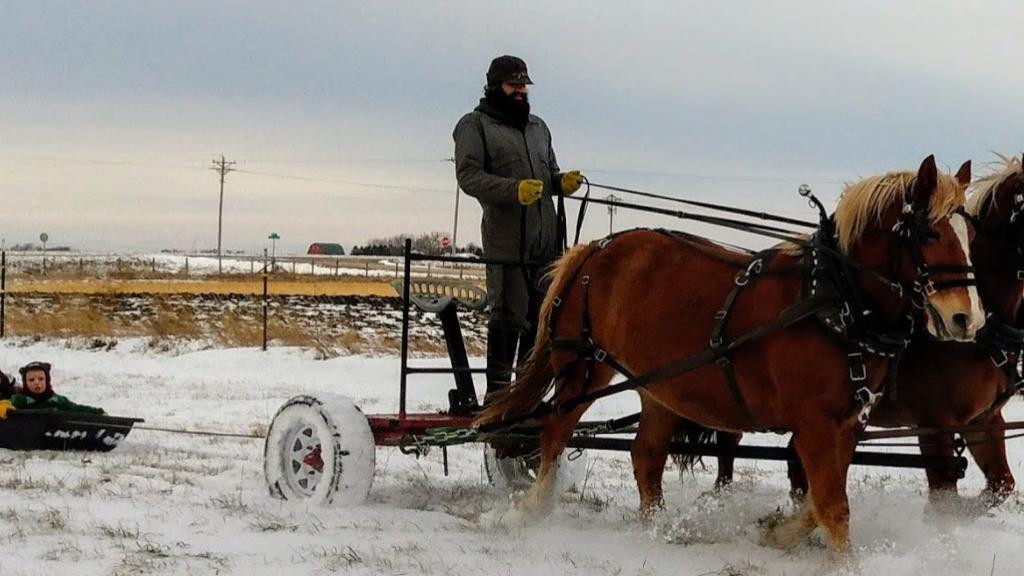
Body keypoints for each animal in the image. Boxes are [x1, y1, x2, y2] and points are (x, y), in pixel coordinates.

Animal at [475, 153, 978, 553]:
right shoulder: (814, 423)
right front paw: (843, 564)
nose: (965, 319)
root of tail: (595, 247)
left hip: (659, 387)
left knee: (645, 456)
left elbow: (818, 501)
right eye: (930, 234)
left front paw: (776, 532)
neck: (834, 299)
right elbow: (832, 506)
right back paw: (534, 509)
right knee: (555, 430)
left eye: (967, 235)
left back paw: (654, 529)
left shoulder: (848, 423)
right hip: (584, 367)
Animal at [696, 151, 1024, 506]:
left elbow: (1002, 484)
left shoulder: (984, 422)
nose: (966, 319)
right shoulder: (934, 427)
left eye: (971, 236)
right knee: (727, 447)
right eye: (930, 235)